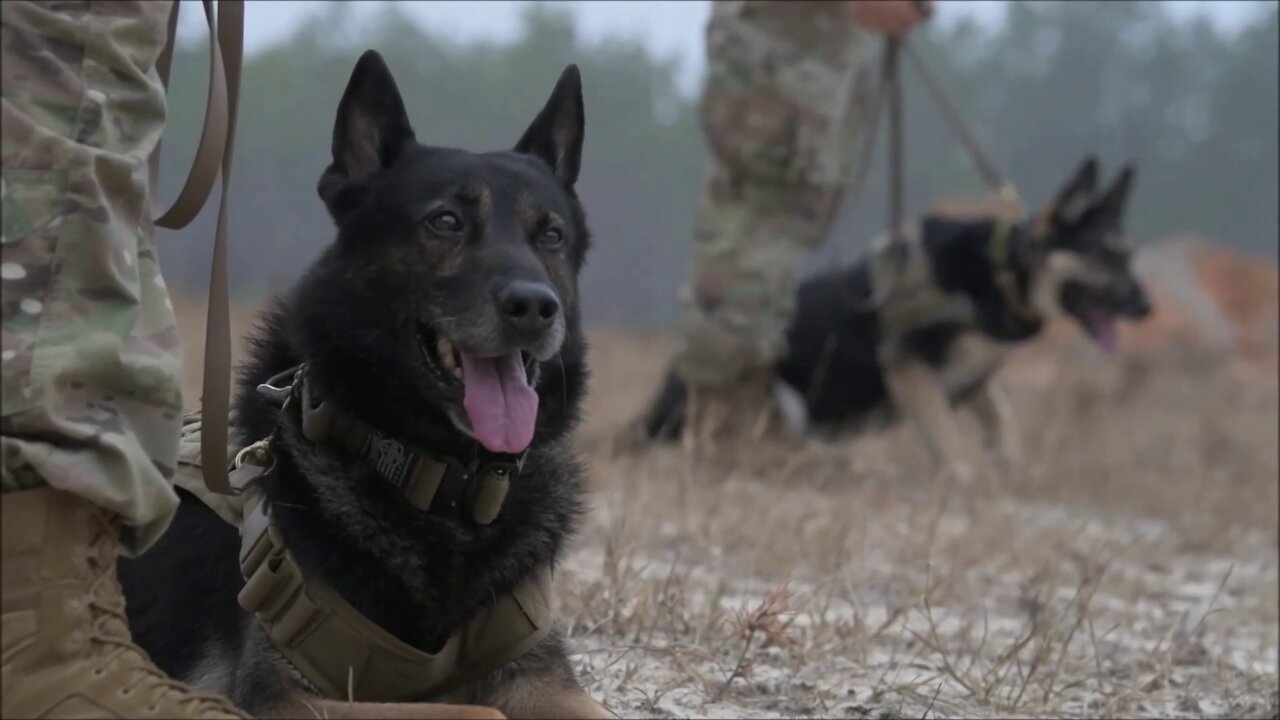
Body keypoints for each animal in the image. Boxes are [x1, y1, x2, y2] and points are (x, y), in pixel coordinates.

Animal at [122, 51, 611, 717]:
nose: (535, 307)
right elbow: (476, 708)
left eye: (552, 235)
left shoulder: (544, 679)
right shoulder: (286, 698)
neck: (447, 485)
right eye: (446, 222)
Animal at [640, 159, 1152, 479]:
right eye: (1107, 256)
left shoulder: (966, 376)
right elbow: (951, 437)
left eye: (1129, 255)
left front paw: (1006, 458)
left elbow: (1000, 415)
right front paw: (971, 475)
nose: (1148, 308)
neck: (1002, 273)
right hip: (780, 398)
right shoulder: (907, 364)